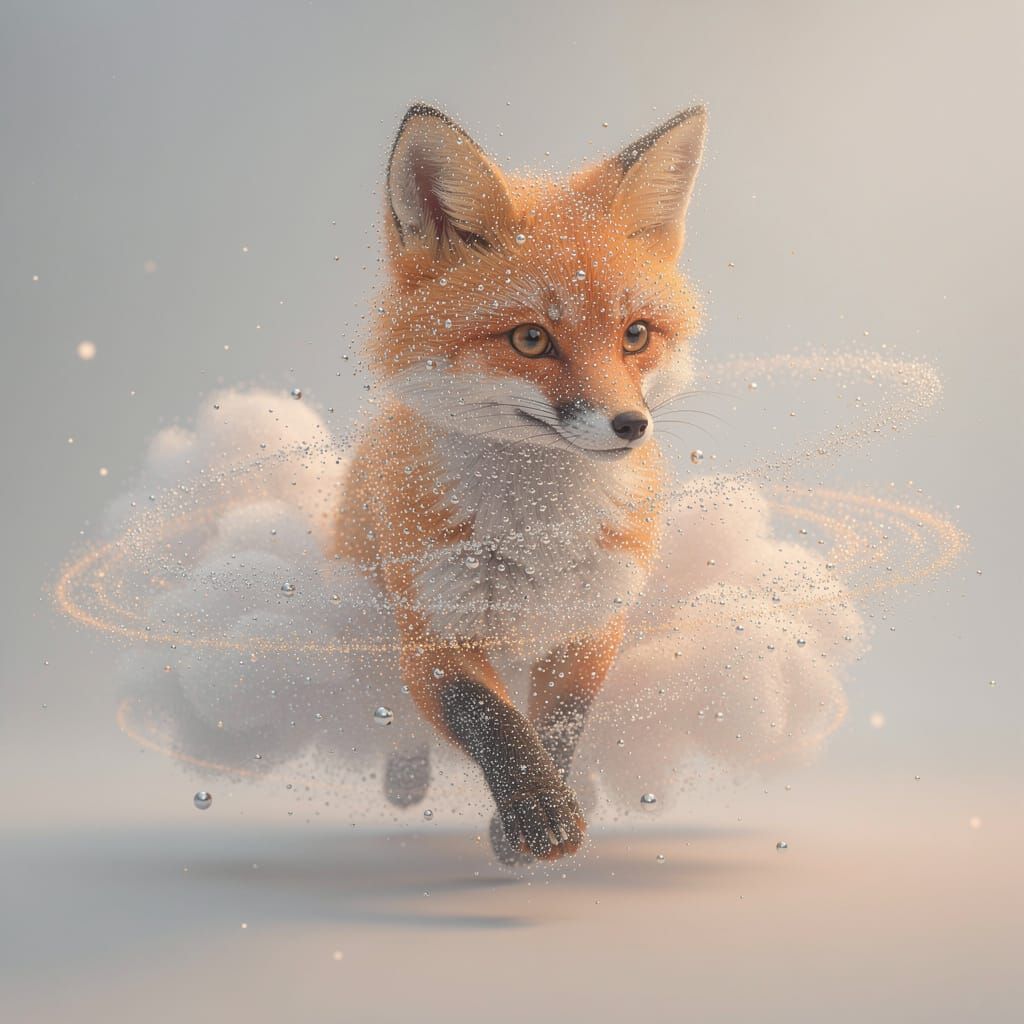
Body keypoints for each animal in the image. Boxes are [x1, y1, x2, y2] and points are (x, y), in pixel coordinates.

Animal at [334, 102, 707, 863]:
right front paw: (537, 814)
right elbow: (493, 718)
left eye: (636, 335)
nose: (632, 426)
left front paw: (538, 815)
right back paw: (406, 776)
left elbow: (560, 724)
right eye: (531, 340)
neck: (541, 522)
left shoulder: (592, 622)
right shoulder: (433, 633)